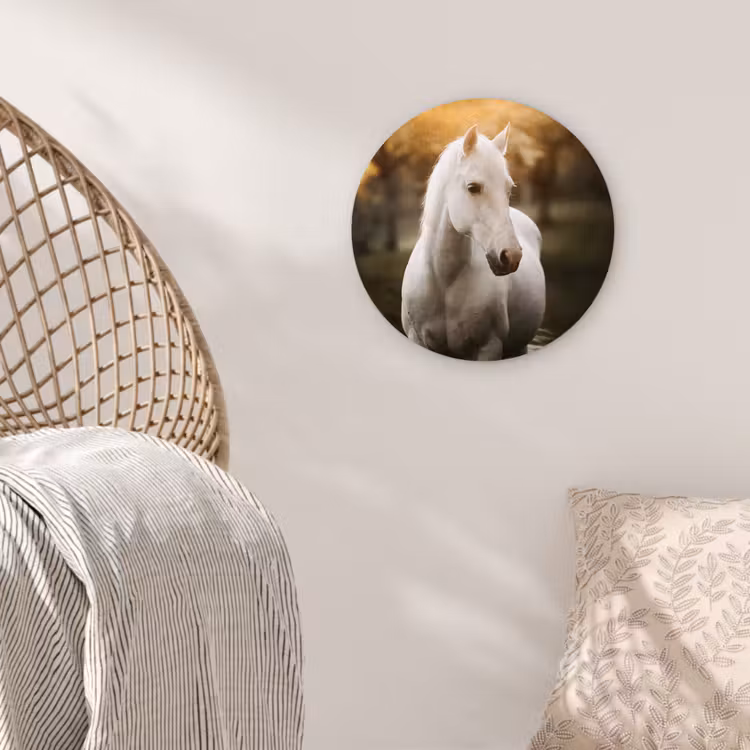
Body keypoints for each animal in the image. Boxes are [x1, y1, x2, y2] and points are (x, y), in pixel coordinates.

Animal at [401, 124, 546, 360]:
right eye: (473, 187)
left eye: (509, 189)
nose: (512, 256)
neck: (444, 280)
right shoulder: (417, 339)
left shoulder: (489, 347)